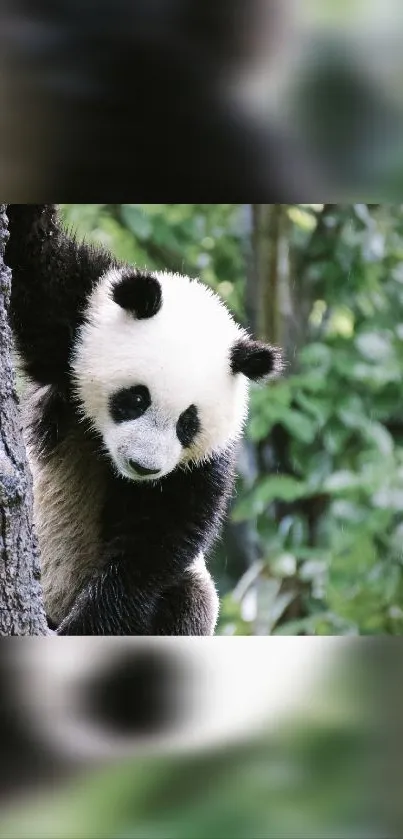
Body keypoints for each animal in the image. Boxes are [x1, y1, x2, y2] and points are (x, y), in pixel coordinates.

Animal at [4, 205, 282, 636]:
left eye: (188, 423)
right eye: (136, 398)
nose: (144, 466)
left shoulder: (199, 467)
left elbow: (153, 545)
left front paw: (85, 628)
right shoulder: (74, 315)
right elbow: (30, 254)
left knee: (188, 599)